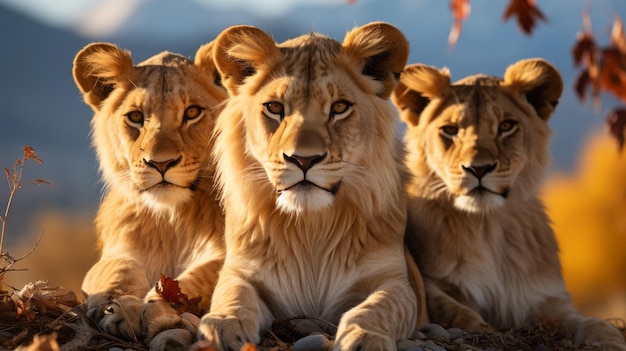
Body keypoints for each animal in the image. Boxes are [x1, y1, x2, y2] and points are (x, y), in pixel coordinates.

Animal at [72, 42, 227, 350]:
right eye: (135, 117)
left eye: (192, 112)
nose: (161, 163)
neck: (173, 219)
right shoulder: (119, 250)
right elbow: (116, 270)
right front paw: (118, 307)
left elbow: (195, 280)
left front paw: (159, 311)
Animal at [194, 22, 428, 351]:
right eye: (274, 107)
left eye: (340, 107)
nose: (303, 159)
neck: (311, 227)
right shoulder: (240, 270)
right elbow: (232, 295)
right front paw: (223, 326)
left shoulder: (398, 281)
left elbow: (377, 307)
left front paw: (364, 337)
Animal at [390, 59, 624, 350]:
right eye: (450, 130)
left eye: (506, 126)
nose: (478, 169)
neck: (487, 226)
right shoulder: (431, 282)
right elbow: (456, 310)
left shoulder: (543, 298)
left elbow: (590, 322)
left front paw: (609, 338)